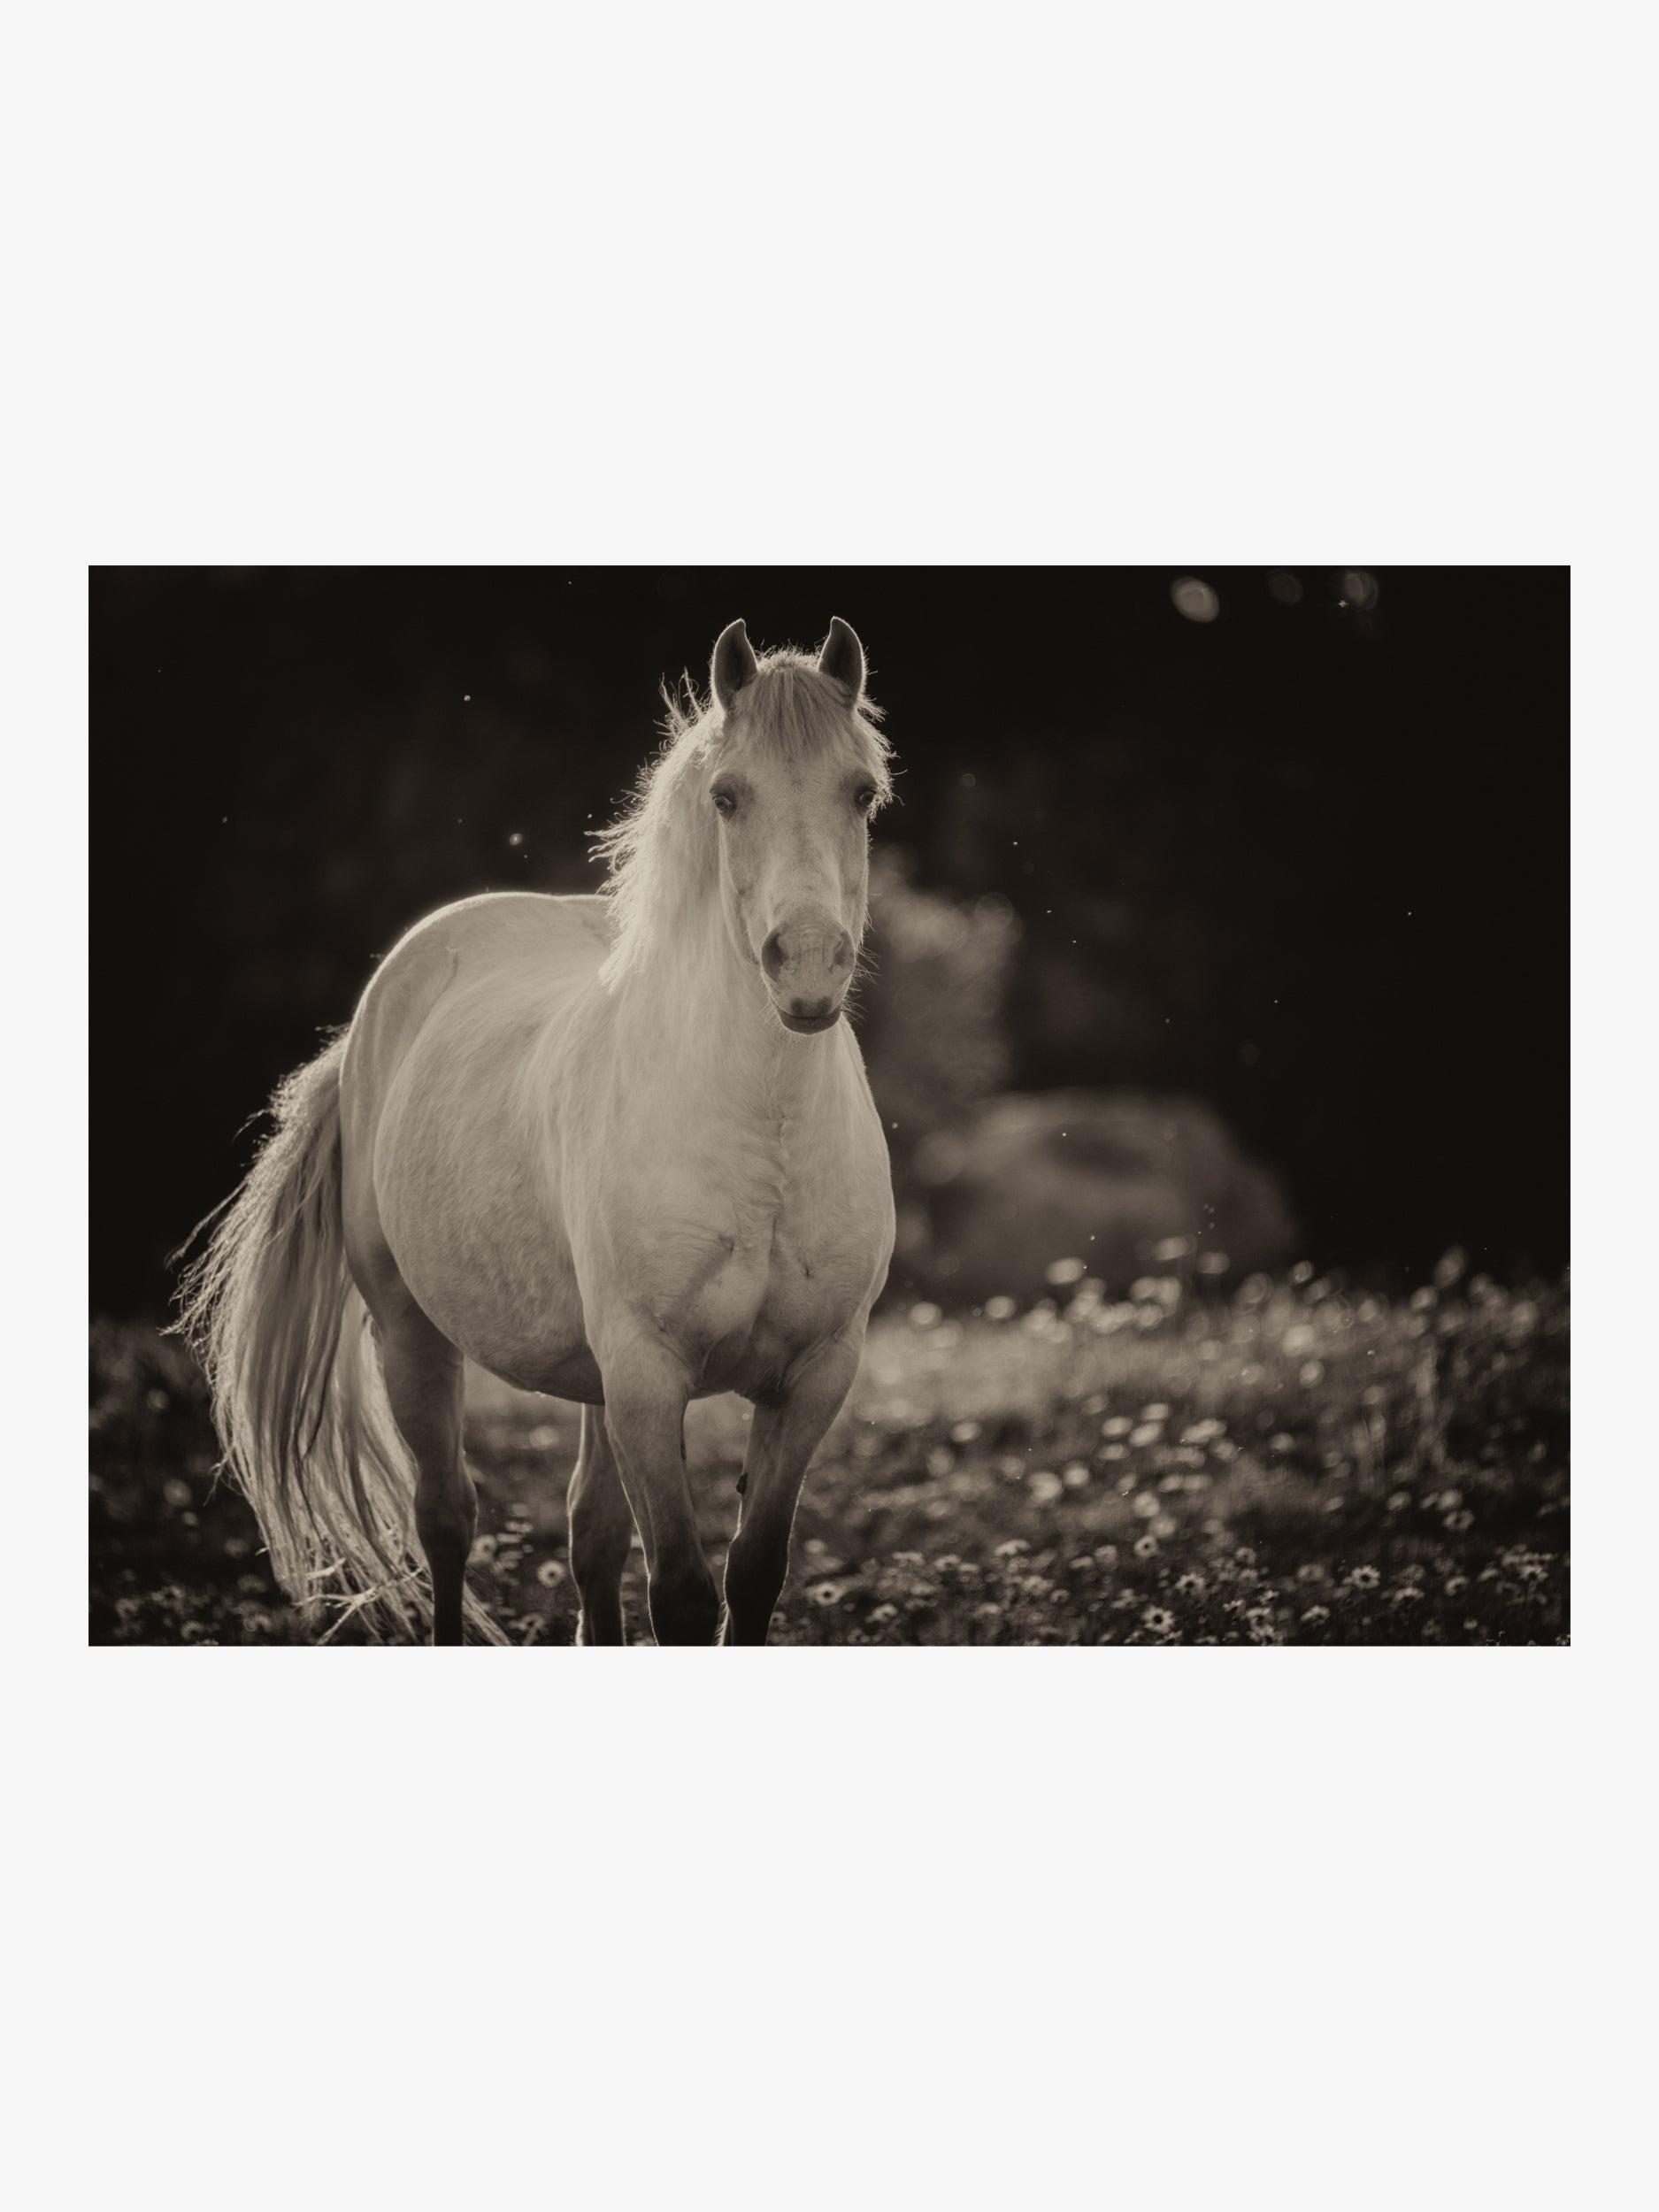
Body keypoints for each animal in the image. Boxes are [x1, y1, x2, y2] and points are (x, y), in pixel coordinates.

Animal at [176, 616, 898, 1646]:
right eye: (727, 796)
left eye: (862, 791)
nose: (805, 968)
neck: (765, 1140)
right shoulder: (645, 1374)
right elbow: (683, 1596)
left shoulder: (815, 1376)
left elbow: (752, 1576)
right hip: (412, 1334)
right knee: (446, 1520)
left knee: (589, 1539)